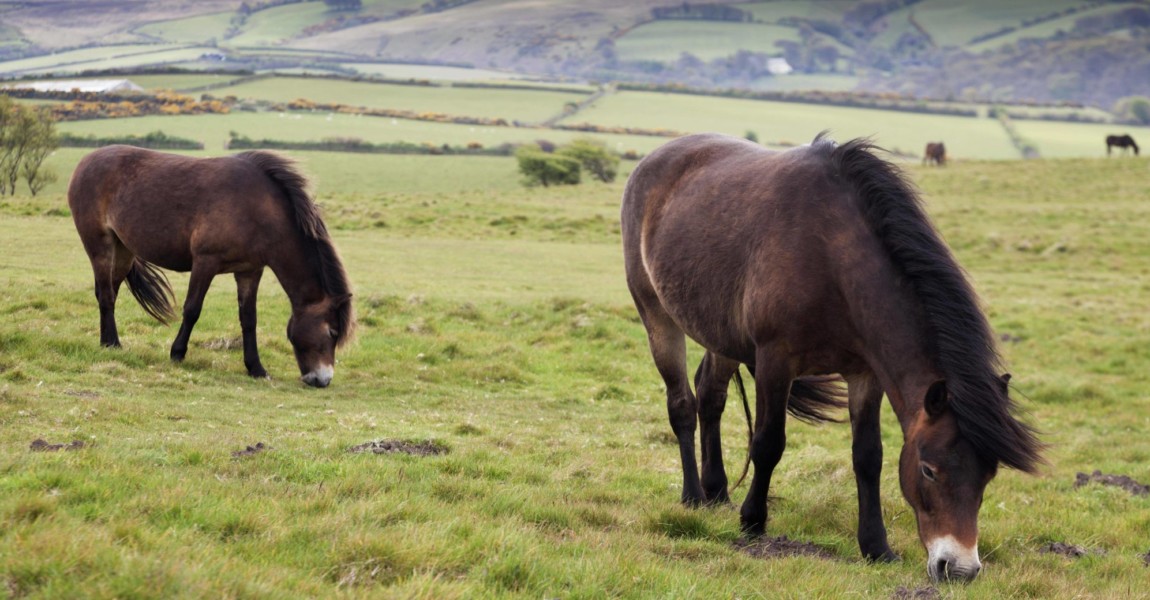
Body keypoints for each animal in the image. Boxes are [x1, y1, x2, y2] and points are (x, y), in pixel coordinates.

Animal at [68, 147, 354, 386]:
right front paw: (177, 354)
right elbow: (192, 309)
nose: (322, 379)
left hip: (123, 251)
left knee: (109, 293)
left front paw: (256, 368)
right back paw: (112, 343)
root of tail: (85, 161)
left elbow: (249, 319)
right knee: (106, 294)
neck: (258, 209)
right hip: (100, 246)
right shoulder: (206, 262)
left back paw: (108, 341)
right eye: (332, 331)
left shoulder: (250, 271)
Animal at [625, 133, 1048, 581]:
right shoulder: (775, 360)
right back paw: (692, 494)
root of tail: (656, 157)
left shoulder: (864, 374)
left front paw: (876, 547)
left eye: (989, 475)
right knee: (682, 404)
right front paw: (753, 521)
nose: (960, 569)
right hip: (658, 317)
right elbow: (768, 443)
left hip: (721, 334)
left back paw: (717, 490)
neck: (830, 257)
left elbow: (869, 456)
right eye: (928, 469)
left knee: (710, 396)